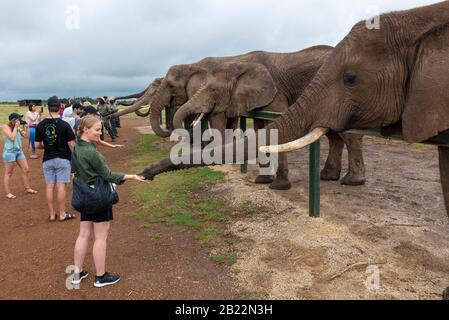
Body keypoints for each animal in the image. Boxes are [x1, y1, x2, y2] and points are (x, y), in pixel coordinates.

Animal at [138, 1, 448, 298]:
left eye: (212, 91)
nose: (144, 175)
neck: (238, 63)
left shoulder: (271, 93)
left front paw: (277, 186)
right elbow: (259, 126)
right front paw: (262, 180)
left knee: (347, 135)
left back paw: (351, 181)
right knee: (334, 136)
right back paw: (328, 177)